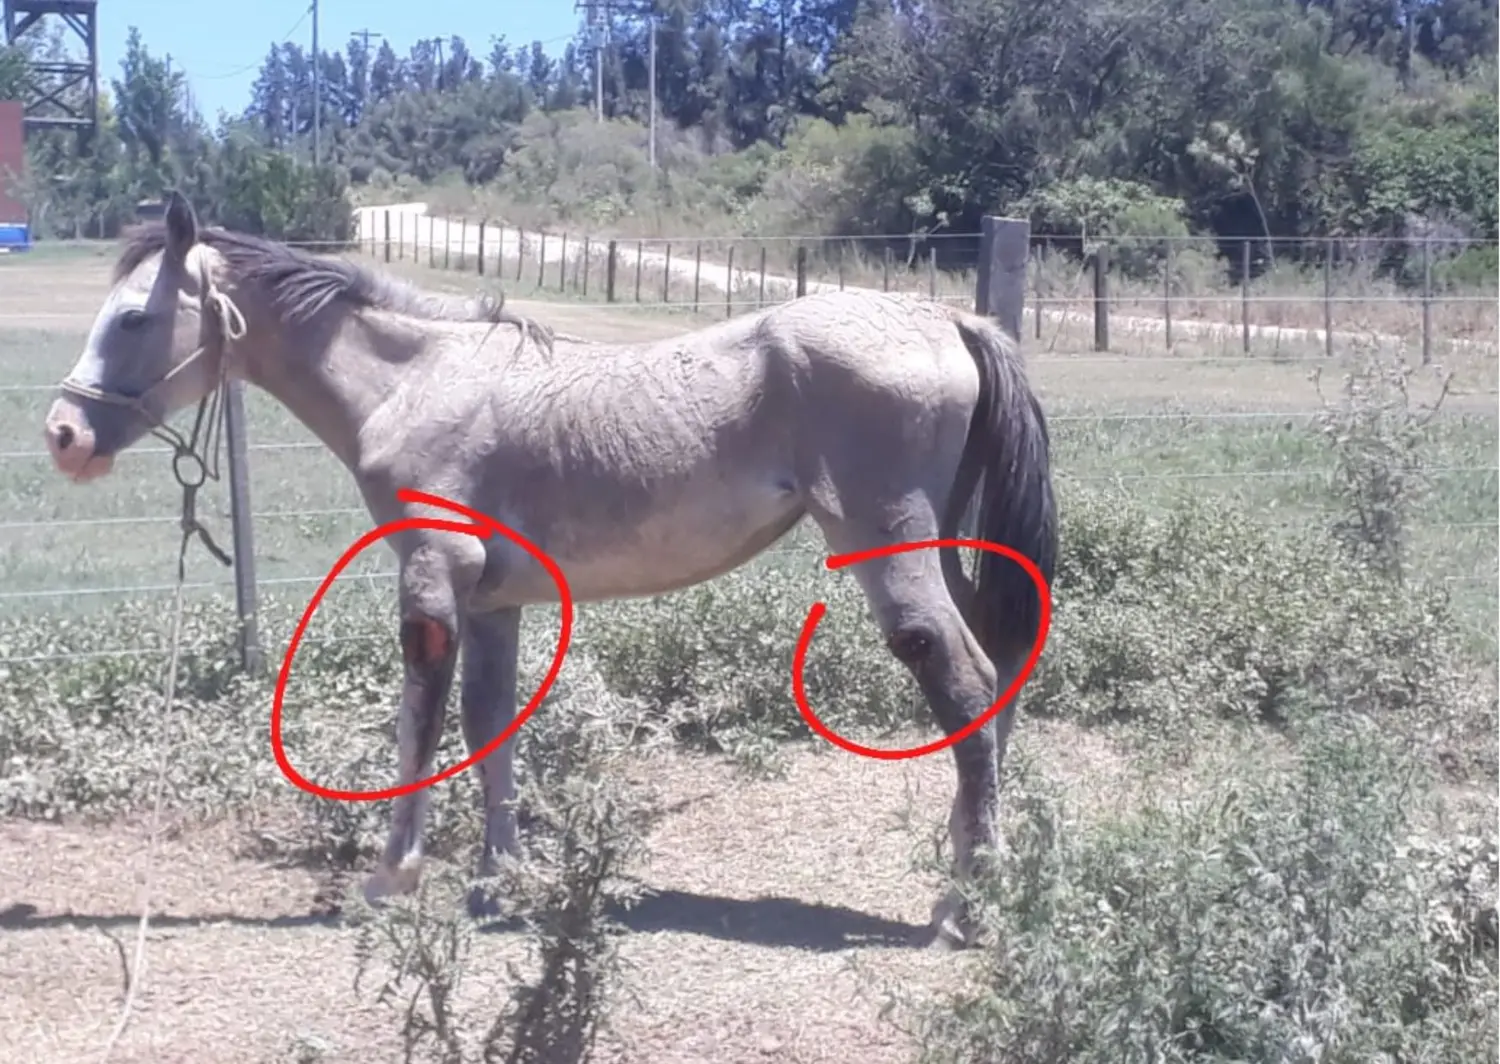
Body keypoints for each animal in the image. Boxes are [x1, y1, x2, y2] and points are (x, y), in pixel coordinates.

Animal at [41, 191, 1057, 949]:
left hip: (895, 554)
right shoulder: (495, 600)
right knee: (999, 669)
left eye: (133, 316)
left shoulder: (432, 576)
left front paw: (392, 874)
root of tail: (949, 319)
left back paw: (967, 906)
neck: (415, 380)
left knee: (960, 676)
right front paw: (499, 881)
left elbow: (422, 718)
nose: (64, 435)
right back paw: (965, 876)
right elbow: (489, 723)